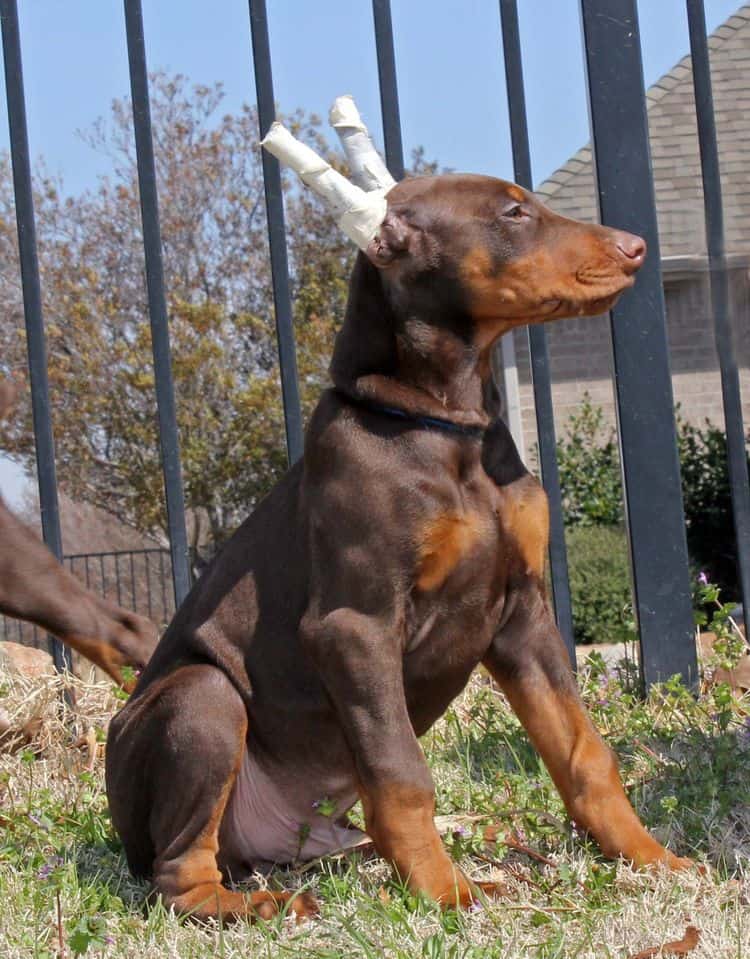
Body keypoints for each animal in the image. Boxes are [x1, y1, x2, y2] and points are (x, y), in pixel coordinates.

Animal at [104, 176, 692, 928]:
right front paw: (445, 892)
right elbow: (402, 771)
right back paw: (257, 903)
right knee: (178, 873)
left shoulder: (523, 613)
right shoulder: (357, 626)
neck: (445, 424)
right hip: (202, 702)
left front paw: (652, 859)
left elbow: (583, 750)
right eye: (513, 212)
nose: (637, 247)